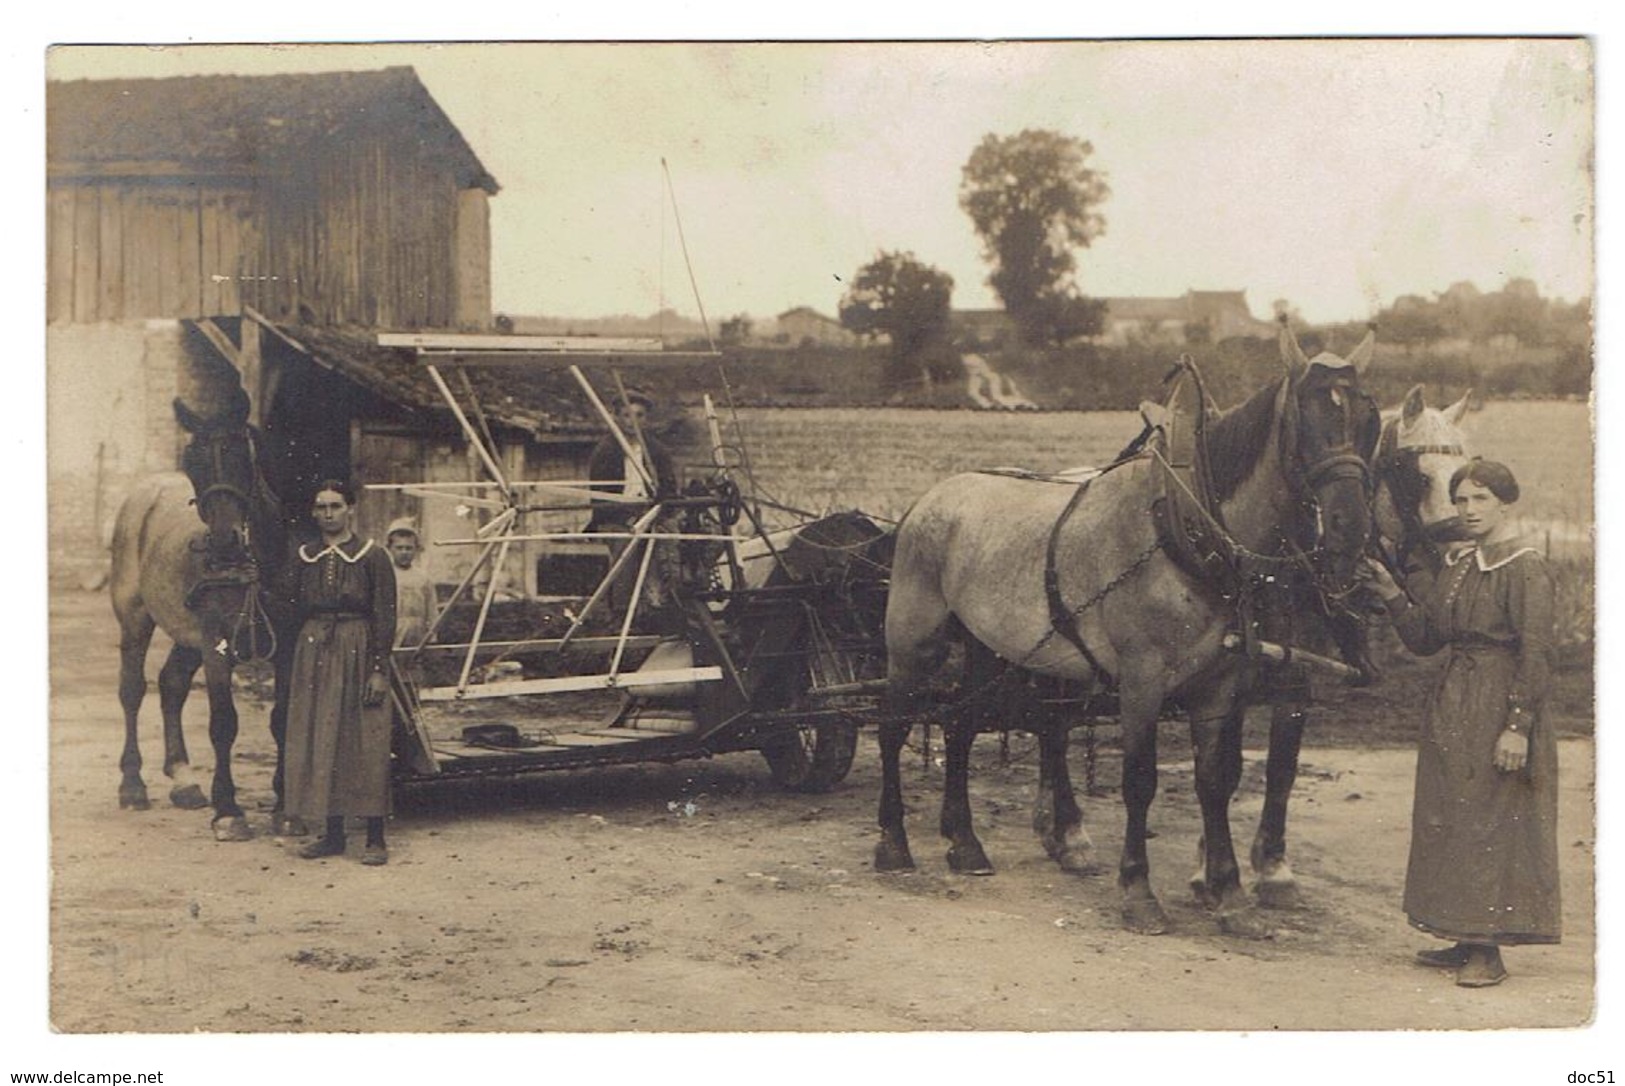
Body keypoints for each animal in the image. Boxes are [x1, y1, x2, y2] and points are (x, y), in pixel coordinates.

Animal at [108, 390, 295, 838]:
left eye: (240, 453)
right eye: (192, 461)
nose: (224, 543)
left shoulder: (288, 642)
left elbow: (281, 718)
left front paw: (284, 807)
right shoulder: (216, 644)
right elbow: (223, 722)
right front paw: (228, 810)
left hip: (187, 634)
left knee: (172, 683)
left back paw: (184, 781)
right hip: (136, 618)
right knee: (132, 690)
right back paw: (133, 786)